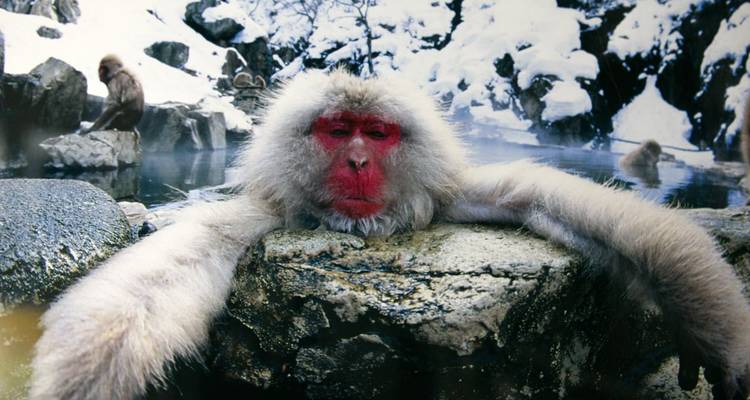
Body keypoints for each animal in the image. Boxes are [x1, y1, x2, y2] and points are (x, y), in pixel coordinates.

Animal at [30, 70, 750, 400]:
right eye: (336, 130)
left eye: (375, 135)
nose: (355, 162)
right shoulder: (268, 212)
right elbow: (153, 284)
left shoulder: (452, 195)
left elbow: (572, 207)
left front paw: (702, 321)